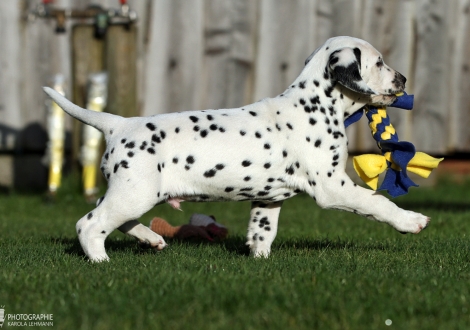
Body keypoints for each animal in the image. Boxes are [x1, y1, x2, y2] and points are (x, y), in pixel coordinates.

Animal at [44, 36, 430, 262]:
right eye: (379, 63)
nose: (403, 79)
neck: (315, 105)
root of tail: (118, 124)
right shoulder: (332, 185)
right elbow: (376, 202)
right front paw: (411, 221)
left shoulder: (269, 198)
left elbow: (263, 229)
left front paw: (258, 258)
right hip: (134, 193)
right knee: (90, 223)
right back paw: (100, 260)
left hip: (131, 192)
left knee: (109, 213)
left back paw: (150, 239)